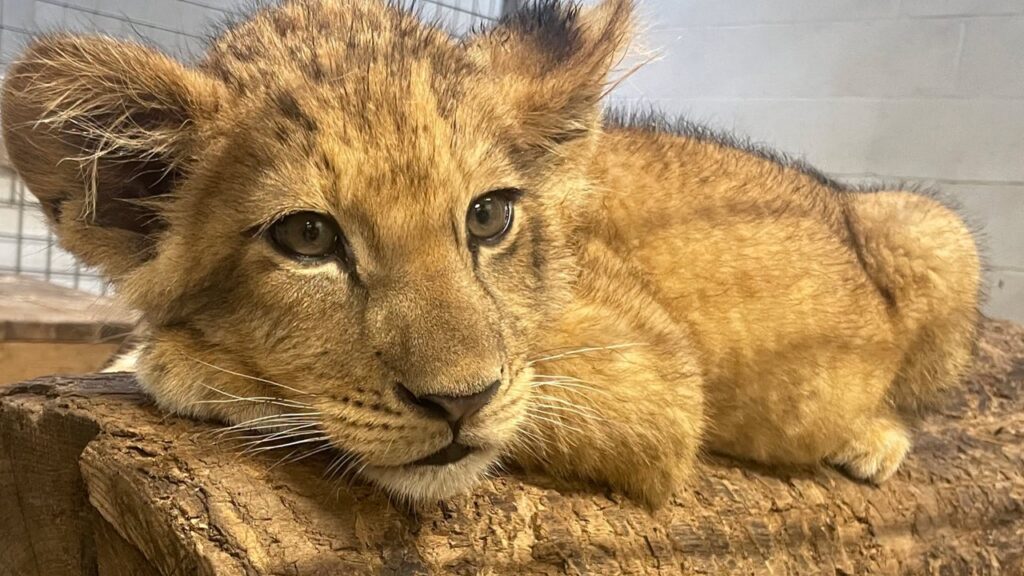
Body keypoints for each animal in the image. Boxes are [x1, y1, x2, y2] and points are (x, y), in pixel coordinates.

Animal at [0, 0, 980, 507]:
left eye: (488, 218)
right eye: (307, 237)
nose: (460, 402)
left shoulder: (654, 378)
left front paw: (175, 361)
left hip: (932, 232)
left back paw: (871, 440)